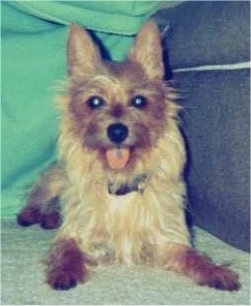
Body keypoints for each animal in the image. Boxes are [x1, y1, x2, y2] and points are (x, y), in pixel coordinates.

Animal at [16, 22, 240, 292]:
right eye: (94, 101)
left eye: (139, 101)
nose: (117, 131)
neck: (121, 182)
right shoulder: (76, 234)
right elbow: (68, 250)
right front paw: (64, 271)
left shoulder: (169, 241)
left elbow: (193, 257)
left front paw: (216, 271)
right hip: (54, 181)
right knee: (37, 201)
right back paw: (32, 215)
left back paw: (49, 218)